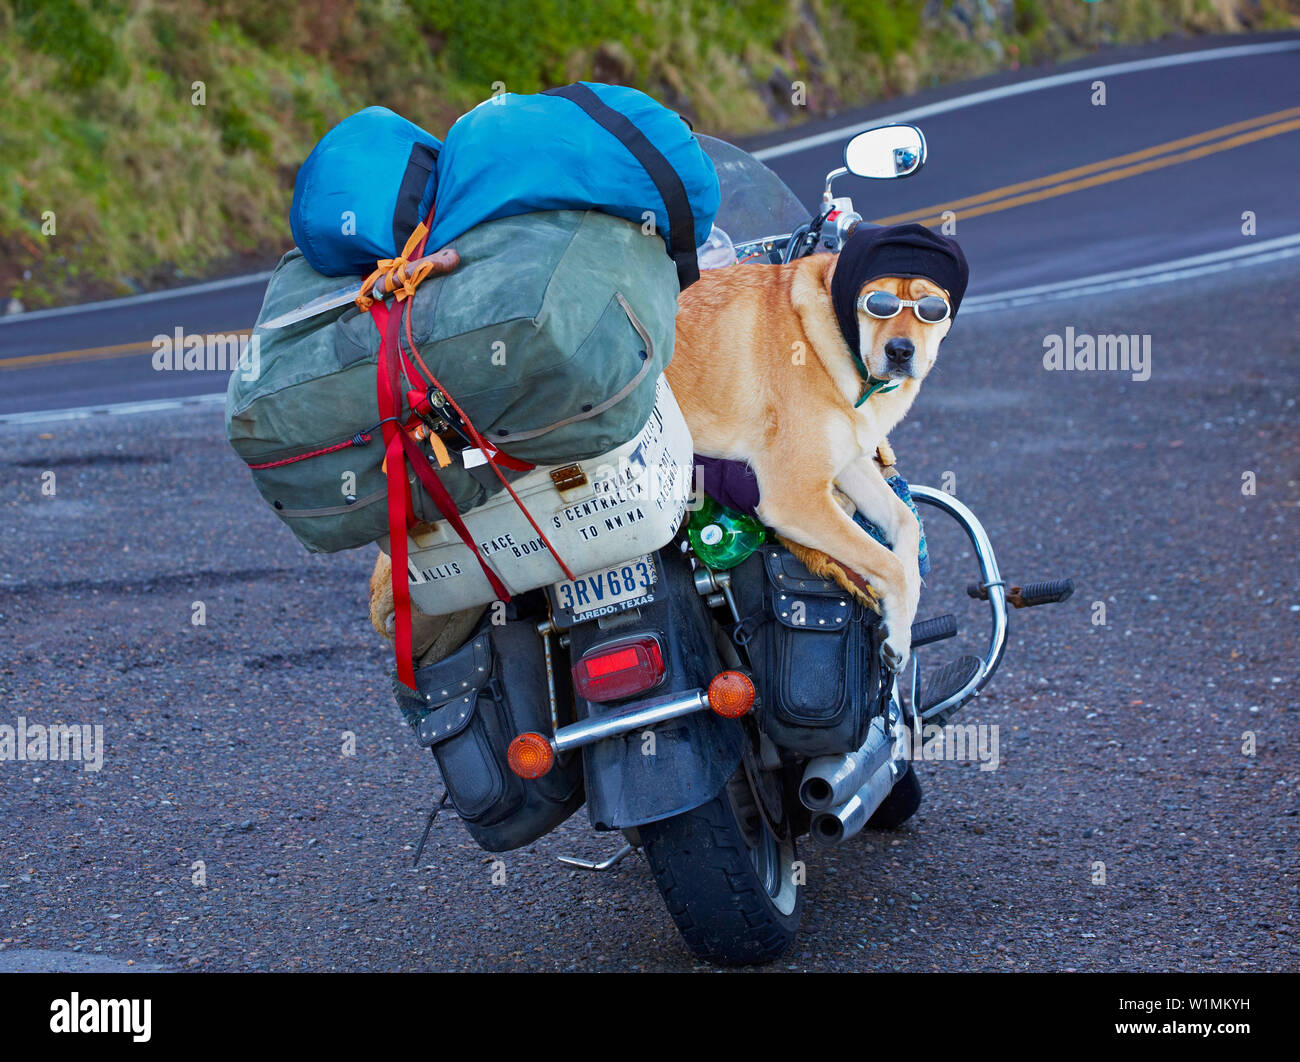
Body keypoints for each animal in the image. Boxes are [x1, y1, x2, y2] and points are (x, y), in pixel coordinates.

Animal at [670, 222, 967, 670]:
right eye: (877, 304)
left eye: (931, 309)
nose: (900, 351)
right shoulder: (796, 497)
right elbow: (889, 564)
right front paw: (898, 636)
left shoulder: (850, 461)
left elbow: (906, 526)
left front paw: (901, 629)